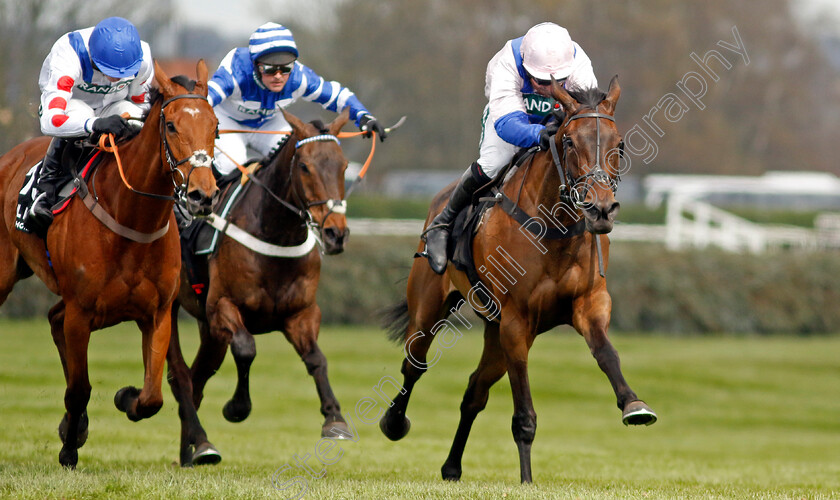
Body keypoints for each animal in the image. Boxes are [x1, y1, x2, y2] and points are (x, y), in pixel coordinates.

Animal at [0, 59, 220, 468]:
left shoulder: (158, 314)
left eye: (215, 126)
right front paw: (69, 448)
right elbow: (79, 387)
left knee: (53, 318)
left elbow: (152, 396)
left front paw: (124, 398)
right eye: (171, 125)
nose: (203, 195)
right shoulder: (81, 313)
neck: (133, 219)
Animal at [380, 77, 656, 480]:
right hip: (430, 308)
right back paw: (394, 422)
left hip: (494, 335)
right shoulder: (516, 322)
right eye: (569, 142)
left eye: (618, 143)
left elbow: (606, 352)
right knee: (413, 364)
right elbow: (523, 414)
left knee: (474, 392)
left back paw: (452, 467)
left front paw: (633, 404)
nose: (601, 210)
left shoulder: (589, 304)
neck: (556, 230)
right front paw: (526, 480)